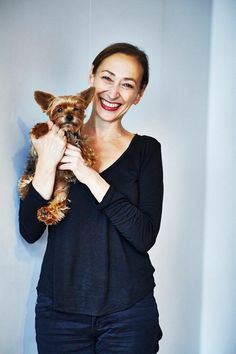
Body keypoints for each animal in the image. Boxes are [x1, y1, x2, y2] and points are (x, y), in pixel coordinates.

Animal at [18, 86, 95, 224]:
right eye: (59, 109)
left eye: (76, 109)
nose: (69, 117)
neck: (66, 131)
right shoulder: (35, 150)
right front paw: (39, 128)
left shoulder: (77, 139)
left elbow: (82, 143)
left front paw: (88, 156)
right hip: (31, 174)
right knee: (25, 181)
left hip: (62, 191)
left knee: (59, 205)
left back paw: (46, 213)